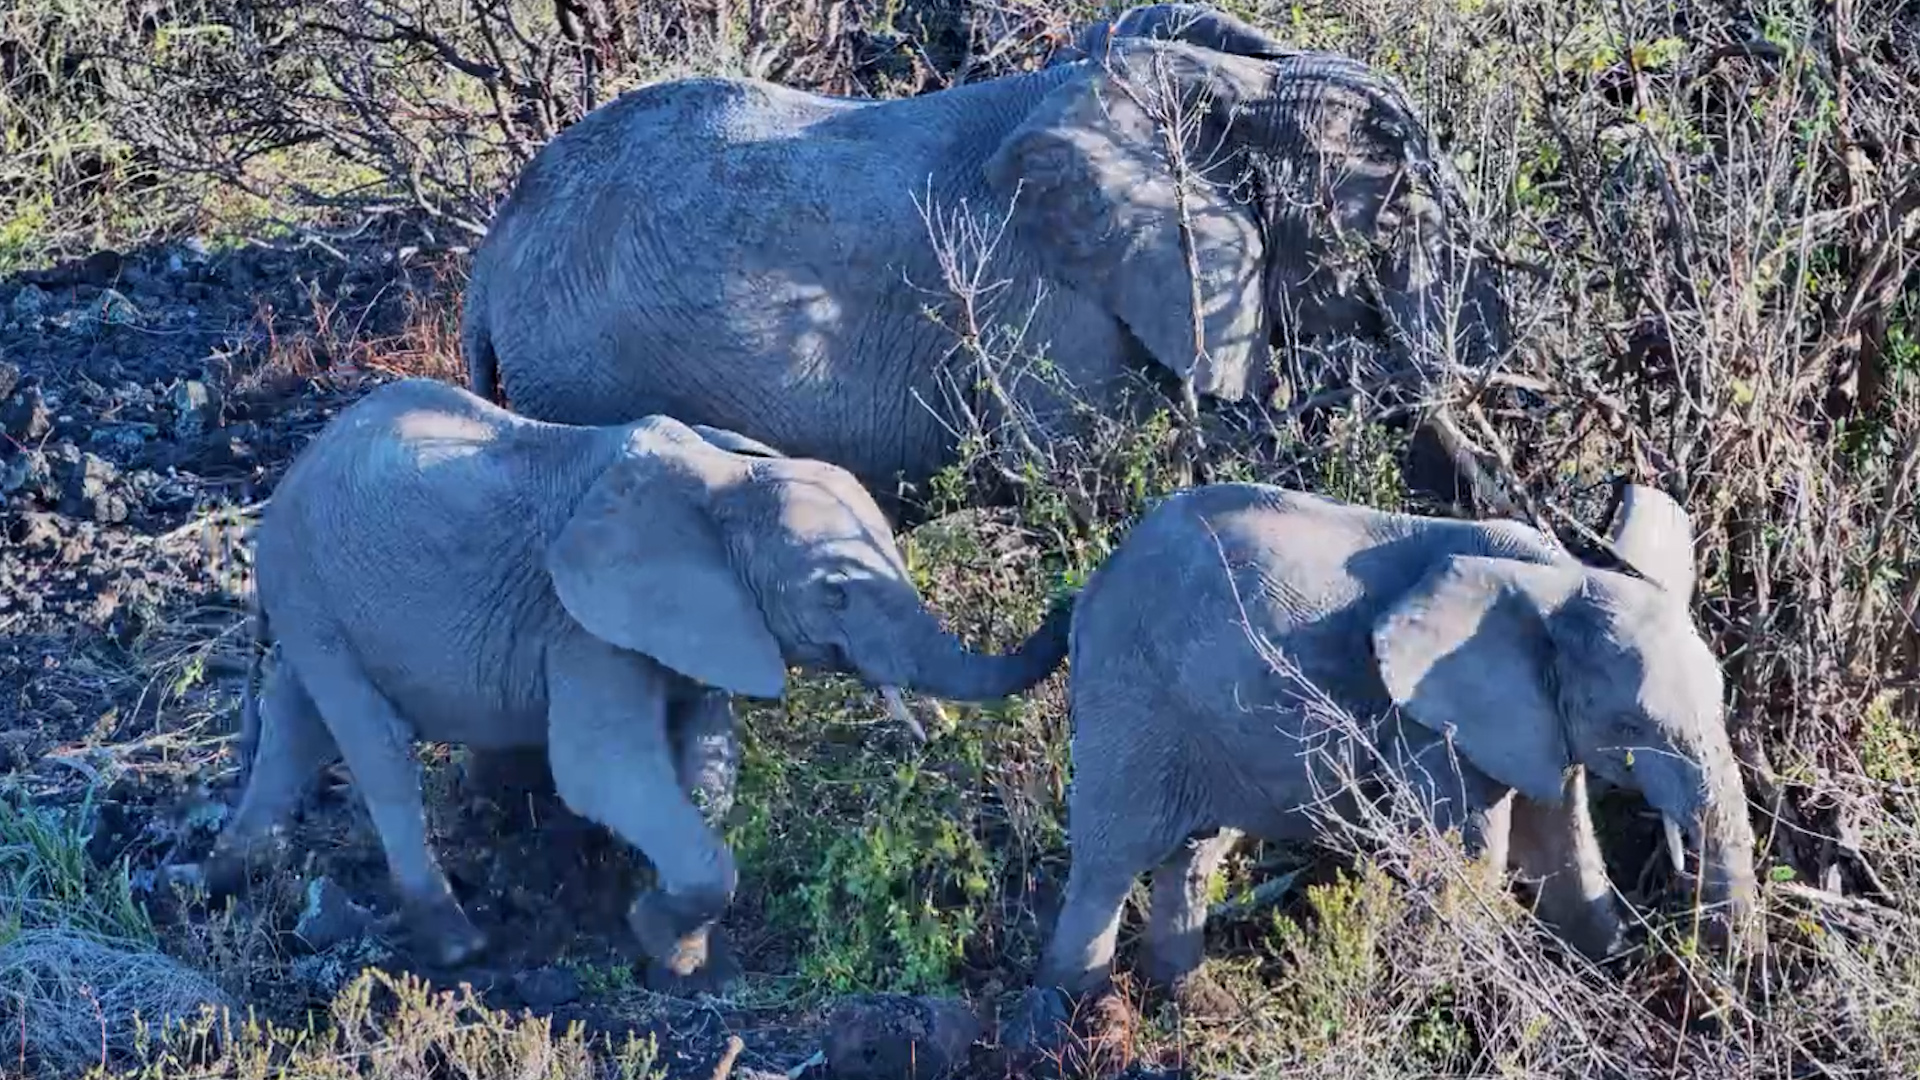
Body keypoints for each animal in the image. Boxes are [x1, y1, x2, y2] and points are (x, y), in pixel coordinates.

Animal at [204, 377, 1071, 991]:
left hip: (312, 598)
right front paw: (664, 943)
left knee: (296, 717)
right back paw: (456, 944)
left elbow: (709, 760)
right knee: (374, 746)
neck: (722, 480)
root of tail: (291, 473)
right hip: (313, 586)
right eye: (835, 594)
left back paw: (227, 874)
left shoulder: (704, 620)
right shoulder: (581, 624)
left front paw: (690, 961)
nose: (1065, 599)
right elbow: (601, 773)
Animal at [460, 4, 1509, 523]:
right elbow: (1098, 481)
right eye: (1401, 213)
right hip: (587, 379)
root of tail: (491, 258)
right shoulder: (1044, 309)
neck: (1227, 85)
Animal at [1020, 480, 1759, 1015]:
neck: (1555, 578)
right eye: (1632, 725)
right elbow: (1470, 864)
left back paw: (1198, 1002)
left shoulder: (1536, 720)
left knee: (1194, 852)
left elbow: (1559, 842)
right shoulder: (1434, 727)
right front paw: (1469, 998)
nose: (1695, 990)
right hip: (1134, 695)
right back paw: (1081, 1012)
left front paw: (1604, 969)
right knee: (1112, 856)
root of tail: (1093, 583)